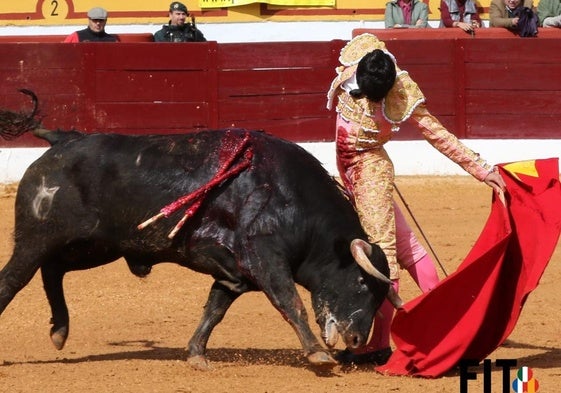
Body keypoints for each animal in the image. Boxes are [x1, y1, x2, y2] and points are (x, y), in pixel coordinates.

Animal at [0, 91, 398, 368]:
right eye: (362, 283)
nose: (358, 339)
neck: (289, 198)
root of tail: (62, 139)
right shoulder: (265, 258)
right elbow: (291, 302)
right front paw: (317, 354)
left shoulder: (236, 272)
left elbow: (215, 310)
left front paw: (196, 355)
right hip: (38, 238)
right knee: (14, 279)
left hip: (95, 246)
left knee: (53, 270)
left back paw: (59, 331)